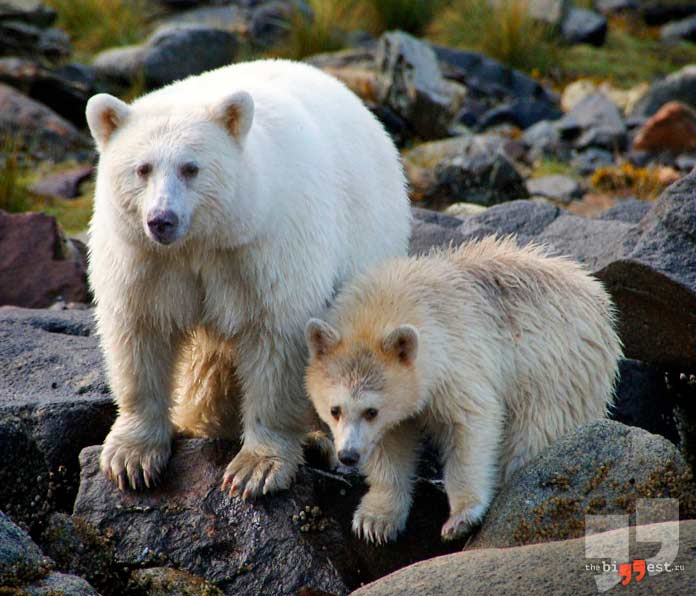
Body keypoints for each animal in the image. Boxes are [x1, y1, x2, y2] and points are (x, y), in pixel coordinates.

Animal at [304, 235, 620, 544]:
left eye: (372, 411)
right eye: (335, 410)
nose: (348, 455)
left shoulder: (457, 358)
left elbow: (470, 424)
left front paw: (461, 518)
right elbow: (390, 444)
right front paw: (375, 521)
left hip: (557, 372)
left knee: (536, 432)